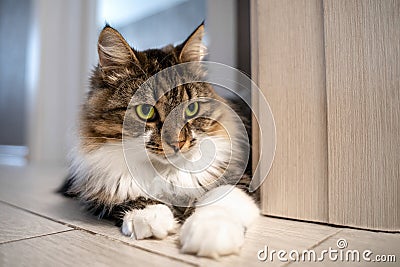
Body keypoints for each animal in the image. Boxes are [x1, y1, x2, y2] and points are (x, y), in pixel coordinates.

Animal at [59, 23, 260, 260]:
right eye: (146, 111)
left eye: (192, 108)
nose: (178, 143)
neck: (167, 172)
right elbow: (133, 197)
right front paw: (149, 217)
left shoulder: (242, 177)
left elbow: (219, 200)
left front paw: (210, 234)